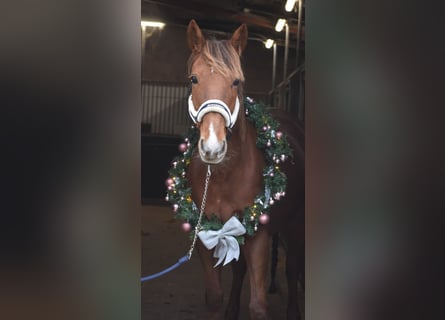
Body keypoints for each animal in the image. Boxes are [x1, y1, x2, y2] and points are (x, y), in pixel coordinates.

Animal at [185, 20, 306, 320]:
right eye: (194, 79)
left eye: (236, 81)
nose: (213, 148)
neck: (223, 176)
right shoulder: (207, 232)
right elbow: (214, 296)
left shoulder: (258, 234)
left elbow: (258, 305)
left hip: (295, 225)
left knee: (292, 269)